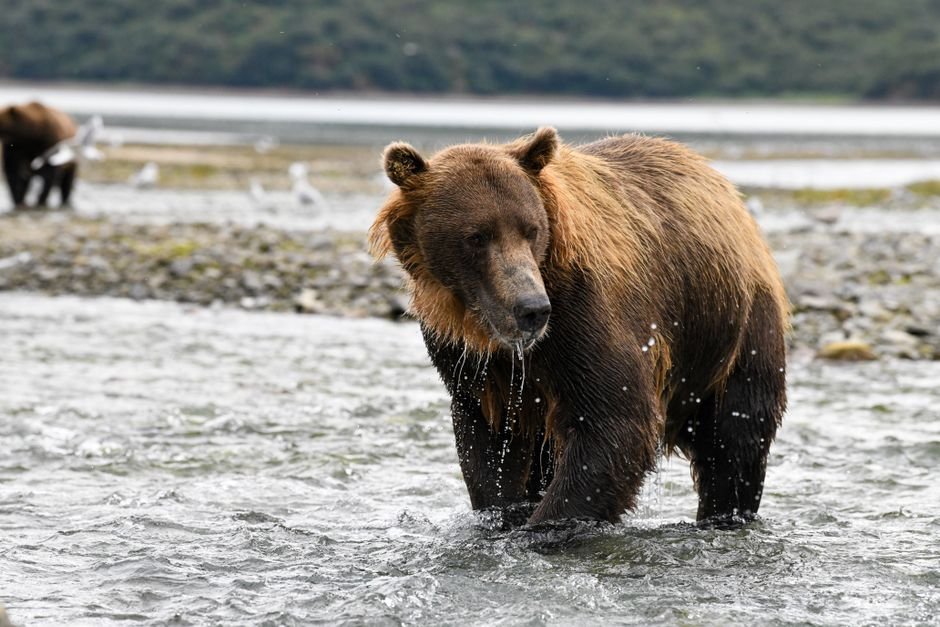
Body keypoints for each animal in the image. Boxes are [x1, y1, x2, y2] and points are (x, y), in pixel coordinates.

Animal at [370, 127, 788, 527]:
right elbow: (487, 442)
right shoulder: (470, 359)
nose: (532, 309)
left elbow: (614, 421)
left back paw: (725, 513)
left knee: (734, 439)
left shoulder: (585, 315)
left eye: (531, 229)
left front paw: (546, 523)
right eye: (476, 236)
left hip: (732, 330)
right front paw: (504, 513)